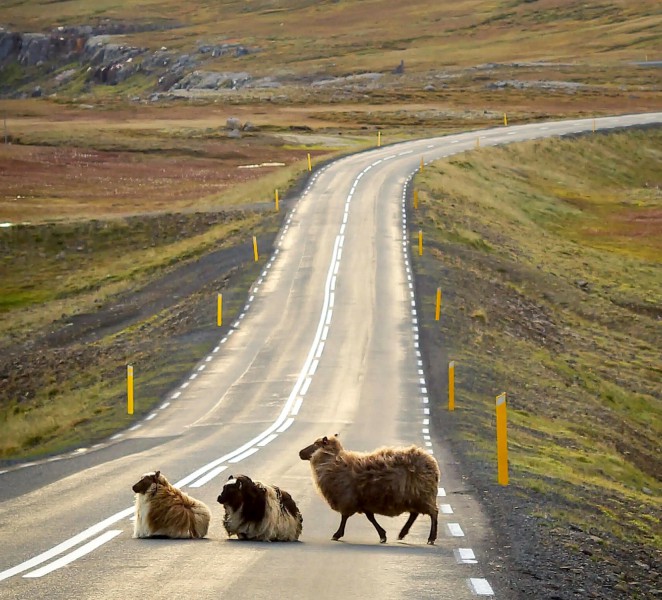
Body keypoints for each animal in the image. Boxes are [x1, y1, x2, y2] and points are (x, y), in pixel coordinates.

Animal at [300, 434, 440, 548]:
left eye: (316, 444)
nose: (300, 453)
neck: (332, 462)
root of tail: (432, 463)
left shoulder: (348, 498)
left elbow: (345, 517)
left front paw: (337, 534)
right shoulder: (362, 500)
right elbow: (370, 517)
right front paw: (382, 535)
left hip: (423, 494)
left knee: (433, 513)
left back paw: (431, 538)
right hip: (414, 496)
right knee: (414, 514)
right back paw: (402, 533)